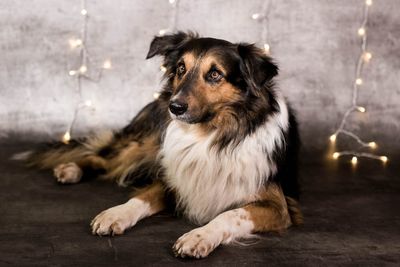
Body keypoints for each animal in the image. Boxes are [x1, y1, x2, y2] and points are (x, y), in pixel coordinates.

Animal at [18, 31, 304, 260]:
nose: (175, 107)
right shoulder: (173, 176)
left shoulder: (277, 207)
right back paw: (71, 169)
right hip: (147, 141)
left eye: (215, 74)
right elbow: (140, 197)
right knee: (103, 156)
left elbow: (230, 214)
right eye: (181, 68)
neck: (210, 135)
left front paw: (199, 236)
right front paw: (115, 214)